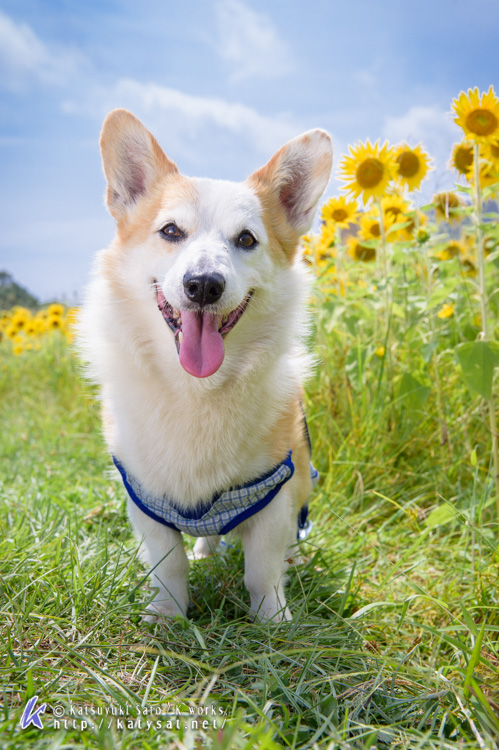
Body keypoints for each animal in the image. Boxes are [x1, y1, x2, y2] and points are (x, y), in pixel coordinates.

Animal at [79, 107, 332, 624]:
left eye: (247, 239)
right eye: (171, 231)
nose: (203, 285)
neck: (196, 389)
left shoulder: (273, 493)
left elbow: (261, 567)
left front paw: (272, 618)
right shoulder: (145, 499)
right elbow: (167, 562)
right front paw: (167, 614)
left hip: (301, 482)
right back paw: (205, 552)